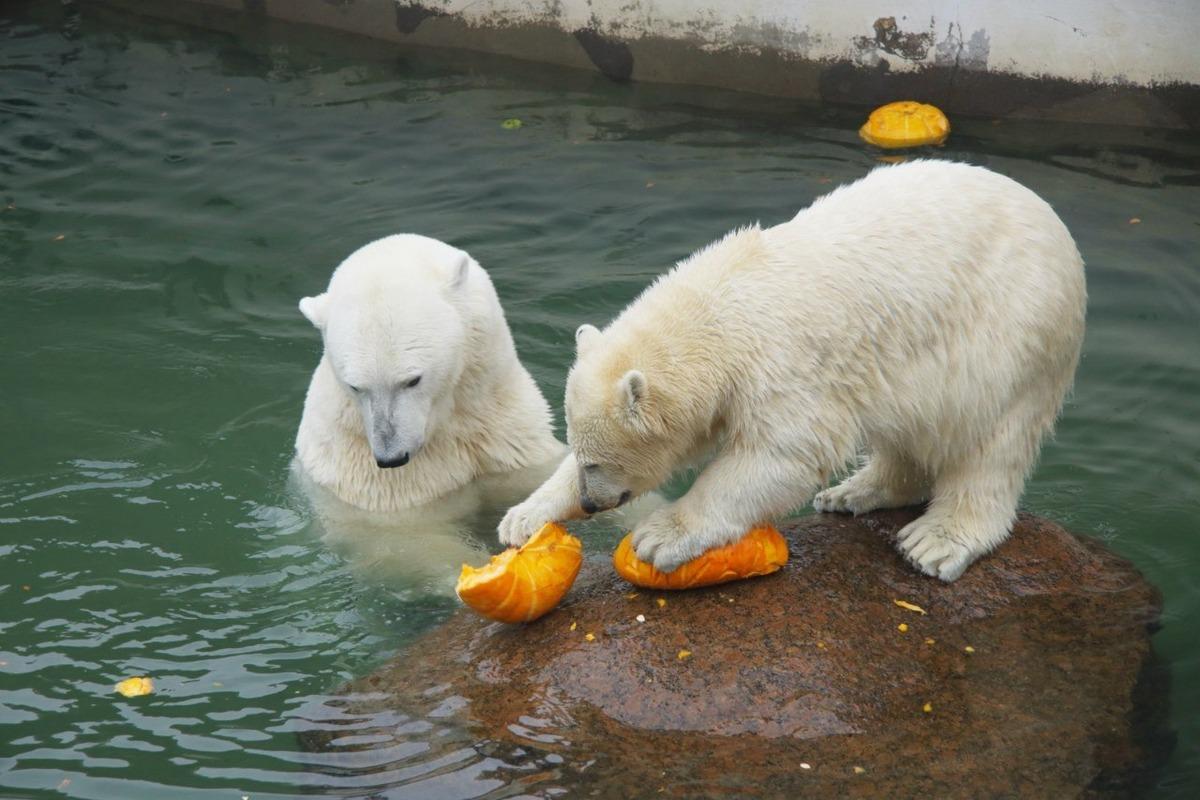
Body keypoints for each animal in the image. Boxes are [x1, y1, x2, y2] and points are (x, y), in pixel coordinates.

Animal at [297, 235, 564, 515]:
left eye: (413, 380)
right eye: (356, 387)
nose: (391, 458)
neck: (446, 425)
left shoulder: (510, 435)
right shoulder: (382, 481)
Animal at [499, 160, 1089, 582]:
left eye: (599, 462)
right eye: (580, 456)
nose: (591, 502)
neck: (721, 309)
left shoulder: (783, 365)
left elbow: (779, 454)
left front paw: (659, 535)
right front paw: (523, 516)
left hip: (1013, 335)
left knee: (990, 444)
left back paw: (935, 541)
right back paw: (855, 492)